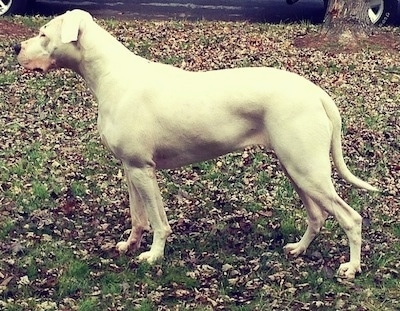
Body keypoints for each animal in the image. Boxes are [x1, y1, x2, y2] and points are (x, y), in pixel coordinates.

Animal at [14, 9, 378, 280]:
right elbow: (138, 217)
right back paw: (299, 250)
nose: (16, 48)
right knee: (317, 216)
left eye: (44, 34)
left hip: (307, 171)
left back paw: (352, 268)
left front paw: (153, 256)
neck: (110, 76)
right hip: (297, 169)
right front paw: (130, 246)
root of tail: (316, 92)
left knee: (350, 218)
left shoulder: (144, 170)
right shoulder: (131, 169)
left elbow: (158, 221)